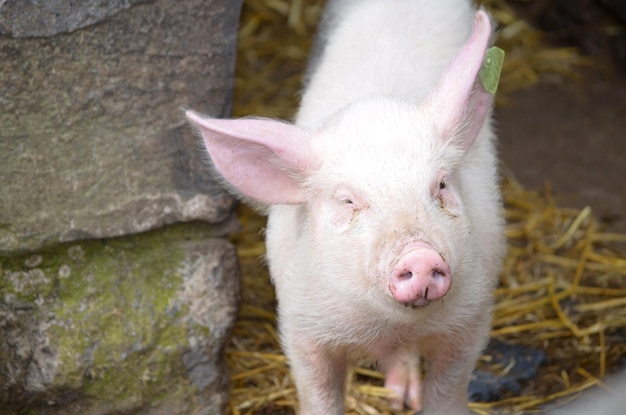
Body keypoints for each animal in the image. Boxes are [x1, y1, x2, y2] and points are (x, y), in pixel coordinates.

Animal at [184, 0, 502, 414]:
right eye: (348, 200)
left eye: (441, 185)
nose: (419, 256)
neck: (390, 327)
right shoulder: (302, 328)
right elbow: (318, 392)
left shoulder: (471, 319)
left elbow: (448, 390)